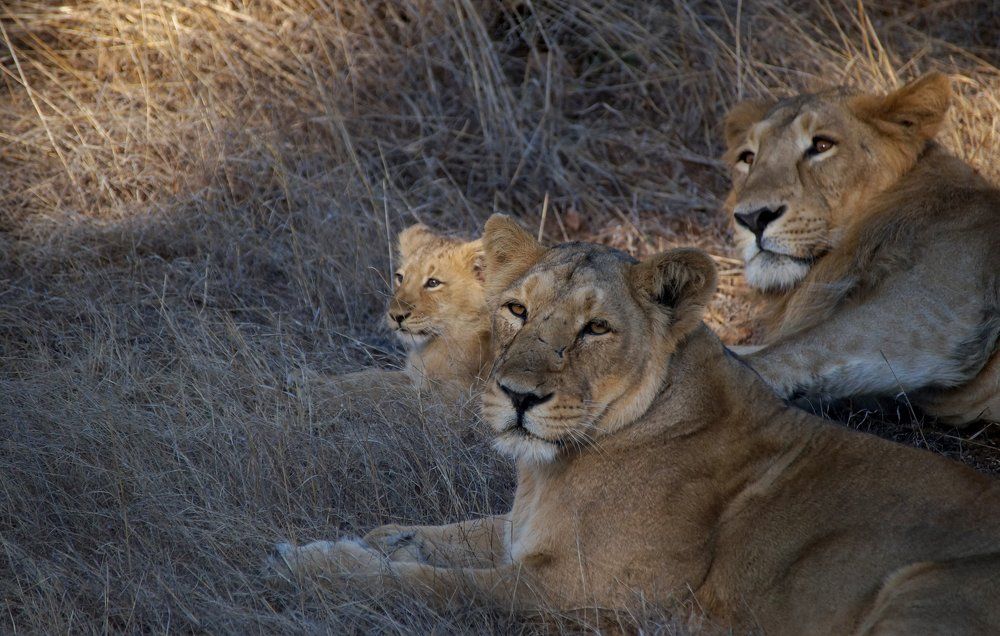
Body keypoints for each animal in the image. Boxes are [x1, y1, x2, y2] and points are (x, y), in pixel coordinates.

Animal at [268, 215, 1000, 634]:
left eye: (596, 328)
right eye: (516, 309)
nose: (516, 396)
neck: (554, 467)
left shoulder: (584, 594)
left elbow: (438, 585)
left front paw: (310, 567)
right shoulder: (521, 538)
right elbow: (433, 536)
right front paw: (357, 543)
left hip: (918, 591)